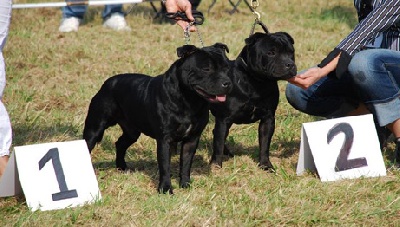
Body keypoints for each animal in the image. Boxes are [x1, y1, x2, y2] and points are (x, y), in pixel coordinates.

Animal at [84, 43, 233, 194]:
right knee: (88, 144)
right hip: (95, 127)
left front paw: (185, 184)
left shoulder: (192, 139)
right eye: (206, 69)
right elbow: (165, 166)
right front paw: (165, 189)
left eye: (227, 68)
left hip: (132, 131)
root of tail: (107, 83)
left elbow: (186, 164)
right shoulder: (164, 140)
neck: (190, 100)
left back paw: (122, 167)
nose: (227, 83)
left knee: (120, 143)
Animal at [209, 31, 296, 170]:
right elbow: (218, 144)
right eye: (271, 53)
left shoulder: (268, 119)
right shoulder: (224, 119)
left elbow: (265, 144)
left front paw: (265, 165)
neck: (256, 82)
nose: (290, 64)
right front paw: (216, 166)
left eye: (291, 52)